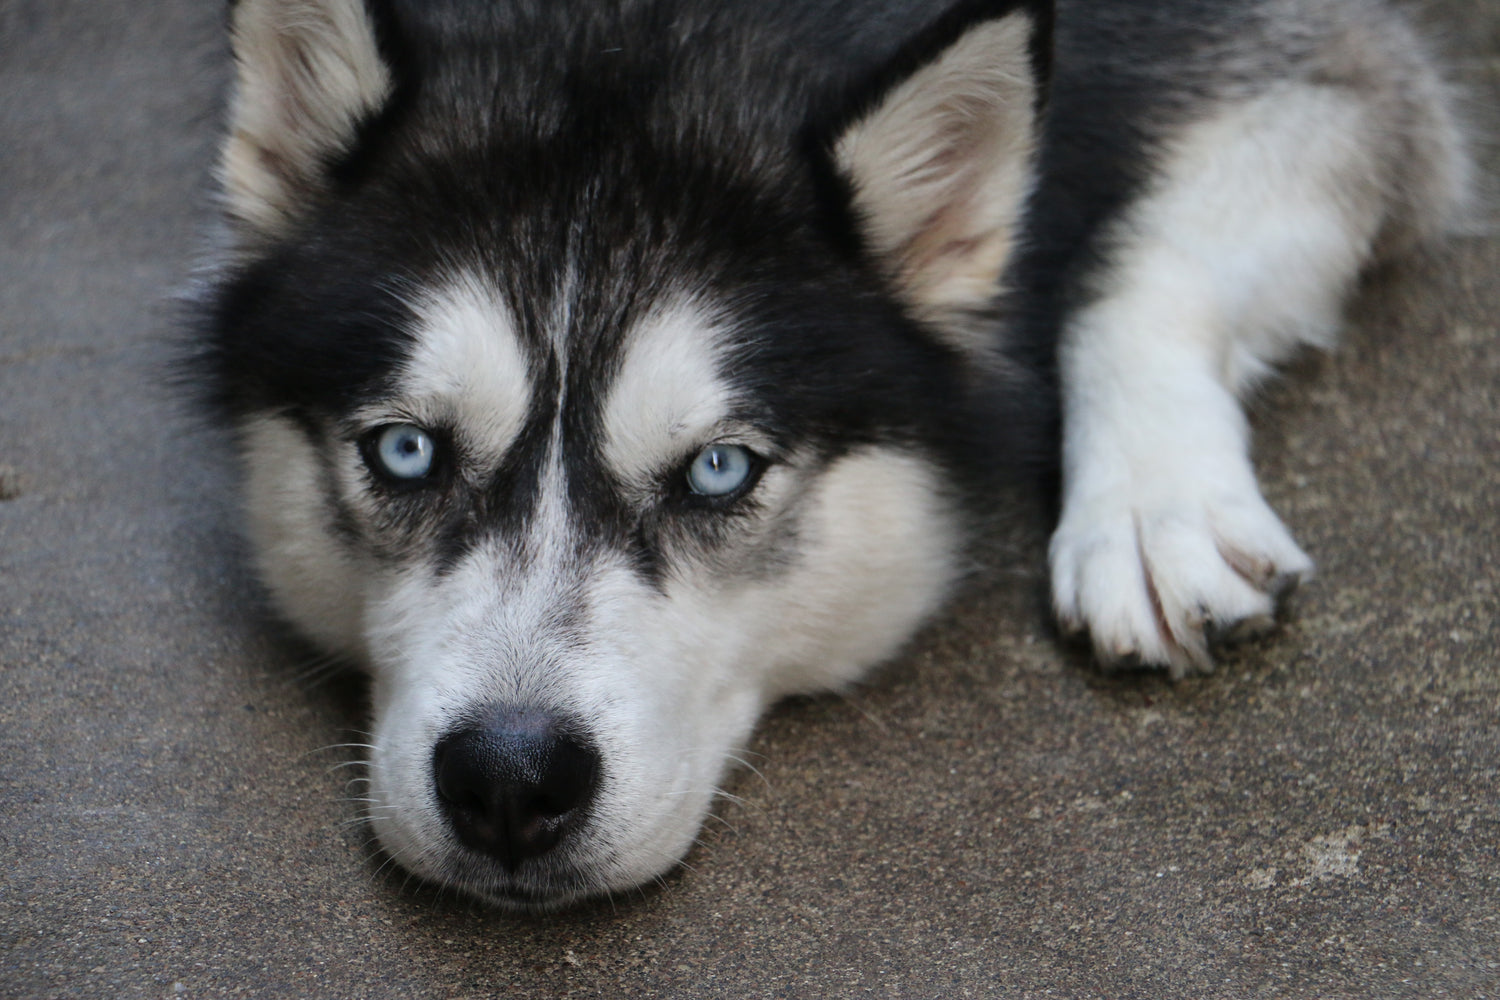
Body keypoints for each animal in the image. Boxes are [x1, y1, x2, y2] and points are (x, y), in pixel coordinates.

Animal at [184, 0, 1464, 905]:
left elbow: (1134, 266)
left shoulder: (1326, 61)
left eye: (719, 469)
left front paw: (1157, 510)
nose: (508, 776)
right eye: (407, 451)